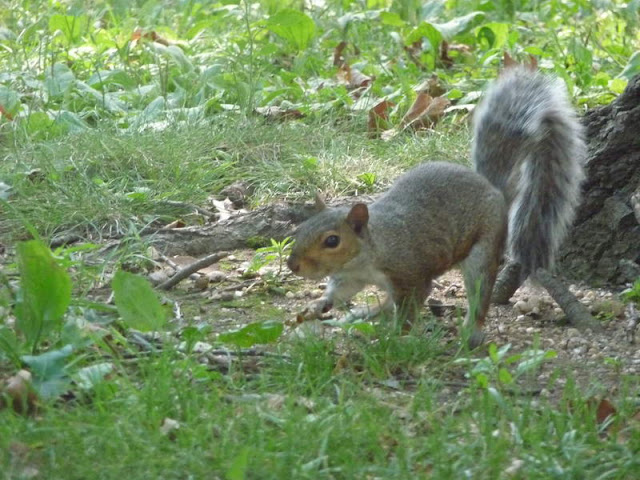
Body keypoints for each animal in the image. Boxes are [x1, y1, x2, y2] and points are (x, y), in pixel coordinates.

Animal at [288, 64, 588, 348]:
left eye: (332, 241)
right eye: (301, 229)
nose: (293, 265)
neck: (371, 251)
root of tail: (492, 188)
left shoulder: (410, 275)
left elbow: (412, 307)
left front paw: (396, 338)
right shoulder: (352, 276)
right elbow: (341, 292)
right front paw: (319, 304)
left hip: (484, 247)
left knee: (479, 293)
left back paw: (471, 333)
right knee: (387, 302)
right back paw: (364, 313)